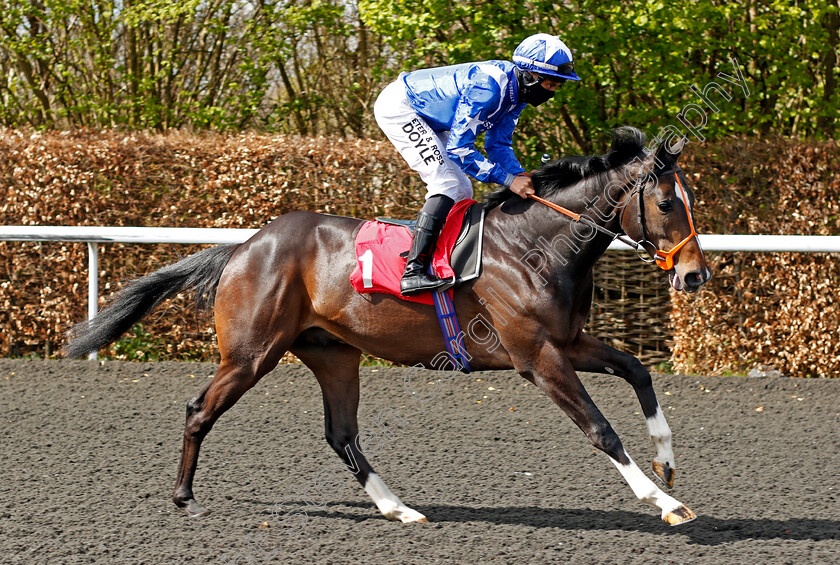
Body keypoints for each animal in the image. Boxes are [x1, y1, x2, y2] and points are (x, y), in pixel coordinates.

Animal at [64, 125, 708, 528]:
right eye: (667, 203)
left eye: (690, 200)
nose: (696, 275)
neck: (536, 245)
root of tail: (243, 247)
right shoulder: (536, 356)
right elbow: (600, 429)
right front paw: (662, 501)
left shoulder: (568, 341)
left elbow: (637, 369)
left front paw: (667, 462)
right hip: (251, 354)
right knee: (201, 410)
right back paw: (185, 498)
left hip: (332, 353)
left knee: (341, 434)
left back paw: (398, 507)